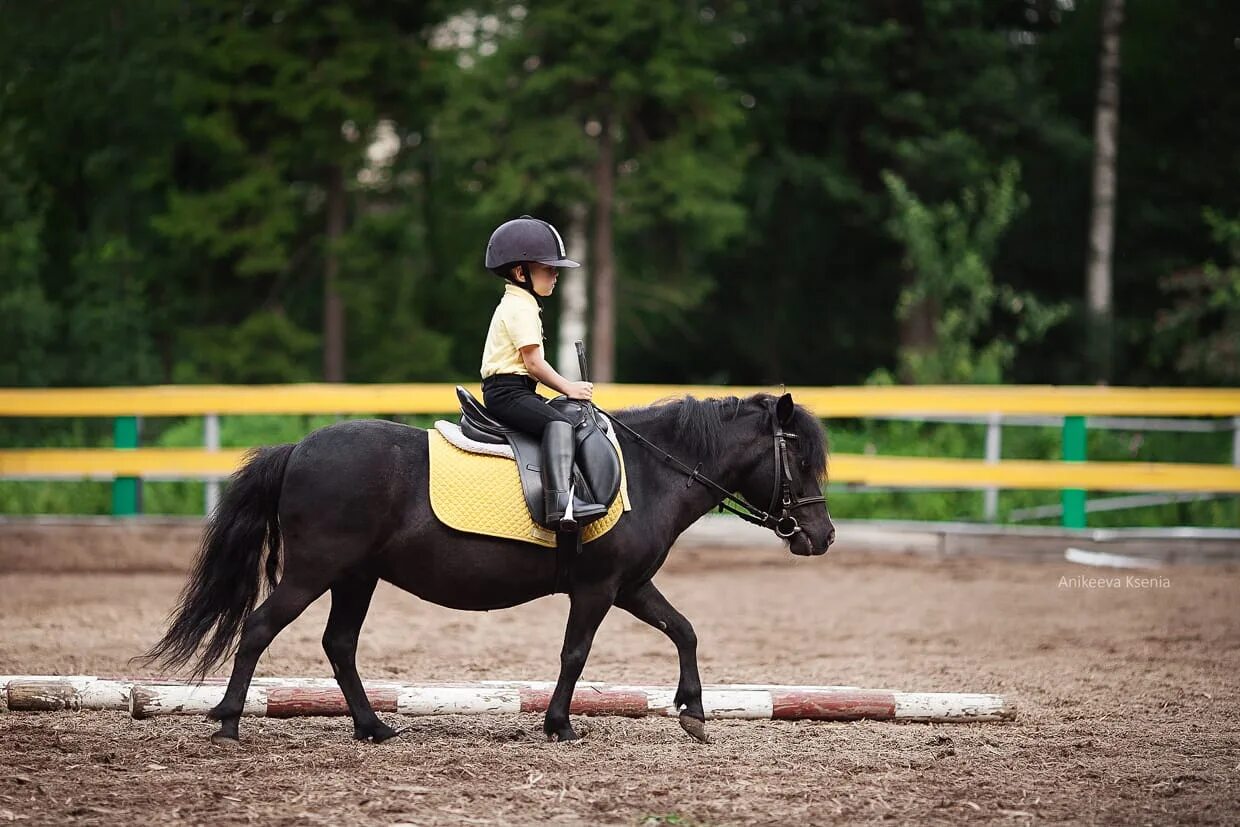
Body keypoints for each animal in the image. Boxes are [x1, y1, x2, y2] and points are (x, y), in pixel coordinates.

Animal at [145, 394, 838, 743]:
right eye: (802, 460)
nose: (822, 536)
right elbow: (575, 654)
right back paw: (229, 723)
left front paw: (693, 711)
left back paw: (373, 728)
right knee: (260, 629)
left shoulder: (631, 585)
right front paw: (559, 725)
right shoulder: (598, 587)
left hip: (355, 577)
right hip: (315, 572)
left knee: (339, 645)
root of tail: (298, 449)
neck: (650, 471)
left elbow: (684, 629)